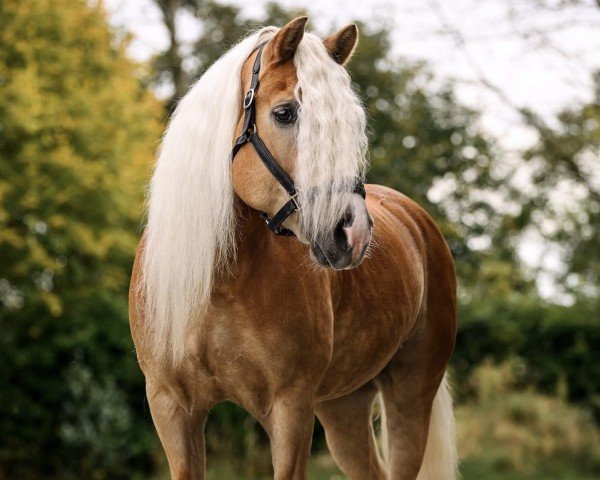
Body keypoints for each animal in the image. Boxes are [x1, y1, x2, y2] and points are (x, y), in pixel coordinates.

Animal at [131, 15, 458, 480]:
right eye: (285, 113)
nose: (353, 233)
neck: (220, 283)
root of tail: (417, 220)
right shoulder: (172, 408)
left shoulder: (291, 407)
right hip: (344, 406)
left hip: (410, 395)